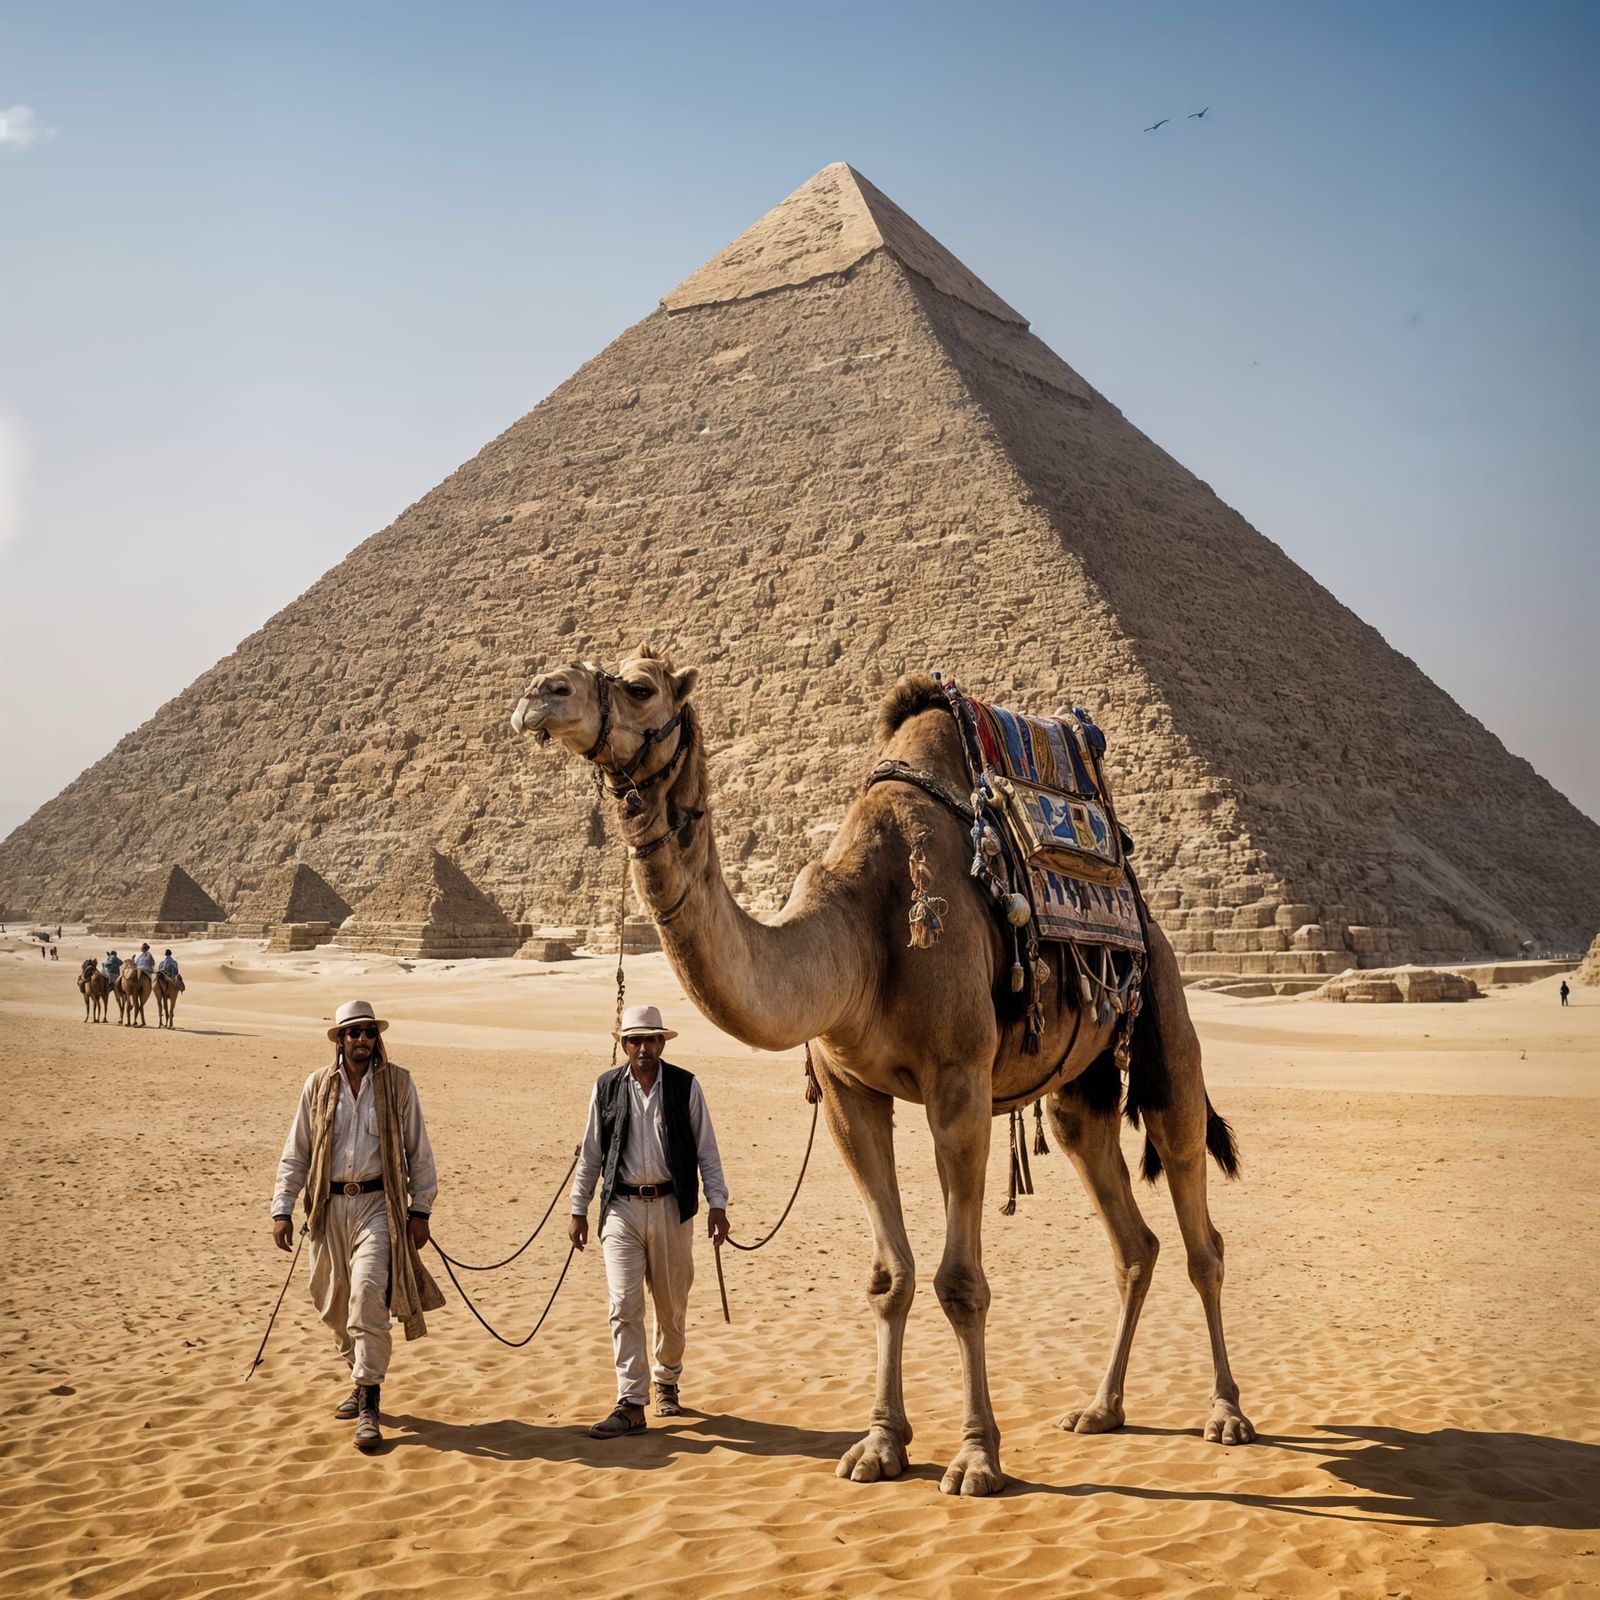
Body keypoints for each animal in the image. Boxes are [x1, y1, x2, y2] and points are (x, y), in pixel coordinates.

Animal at [511, 648, 1253, 1496]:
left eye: (640, 687)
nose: (539, 695)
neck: (857, 933)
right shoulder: (848, 1089)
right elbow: (888, 1277)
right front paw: (880, 1445)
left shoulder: (958, 1081)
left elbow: (960, 1282)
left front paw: (976, 1457)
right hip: (1080, 1089)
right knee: (1130, 1236)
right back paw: (1101, 1409)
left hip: (1163, 1017)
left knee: (1200, 1228)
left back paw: (1227, 1413)